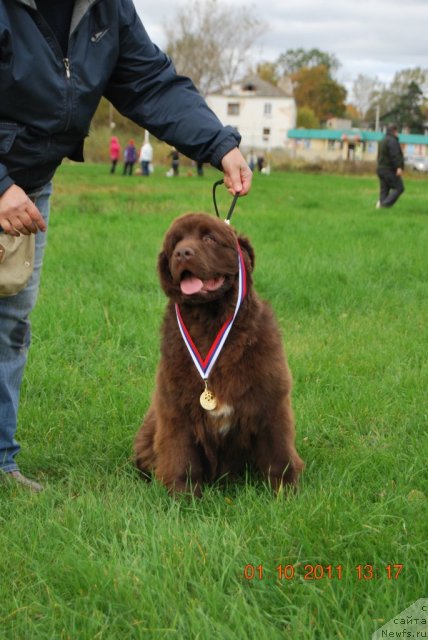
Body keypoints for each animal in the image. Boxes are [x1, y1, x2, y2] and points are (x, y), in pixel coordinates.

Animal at [135, 212, 304, 498]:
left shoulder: (271, 398)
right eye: (175, 243)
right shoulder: (175, 406)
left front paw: (286, 491)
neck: (209, 322)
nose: (182, 253)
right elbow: (180, 453)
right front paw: (183, 496)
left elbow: (278, 450)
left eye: (209, 238)